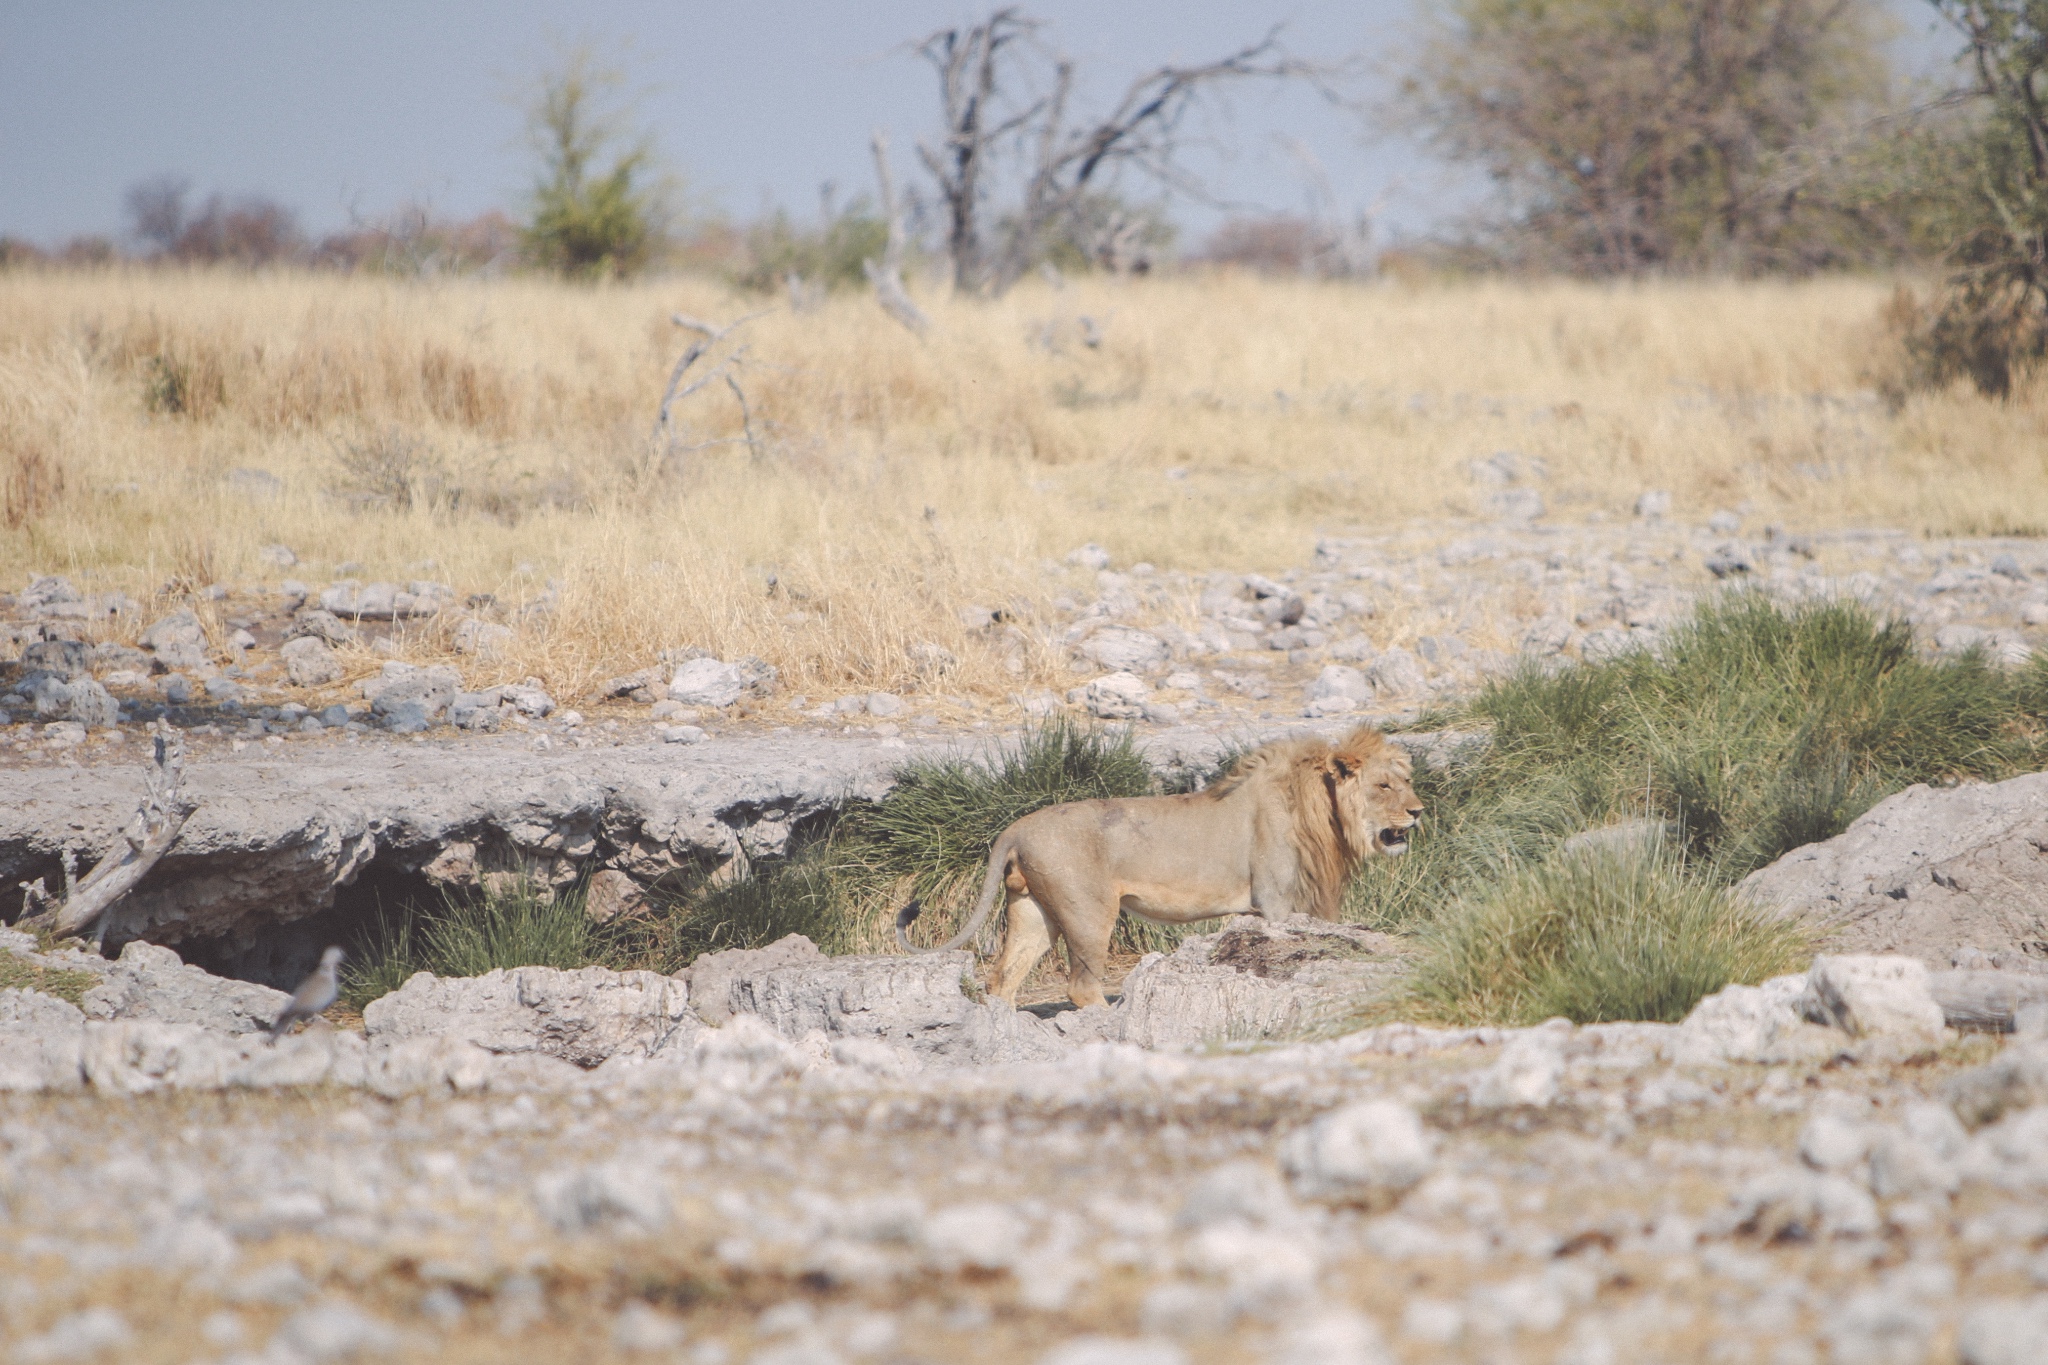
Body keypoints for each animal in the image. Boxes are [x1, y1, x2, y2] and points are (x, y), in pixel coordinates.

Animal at [897, 720, 1425, 1010]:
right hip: (1089, 914)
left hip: (1033, 910)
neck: (1322, 812)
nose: (1419, 812)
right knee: (1080, 986)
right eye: (1383, 786)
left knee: (1002, 980)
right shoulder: (1275, 902)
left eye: (1406, 782)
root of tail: (1016, 827)